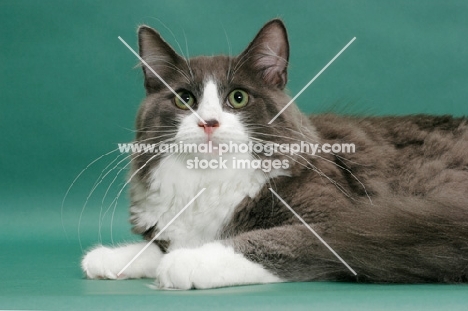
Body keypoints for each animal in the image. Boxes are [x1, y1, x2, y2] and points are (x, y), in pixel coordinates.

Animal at [82, 19, 468, 290]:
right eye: (184, 99)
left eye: (238, 98)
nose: (208, 123)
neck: (210, 179)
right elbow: (160, 245)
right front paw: (110, 257)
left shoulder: (338, 219)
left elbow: (257, 240)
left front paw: (186, 262)